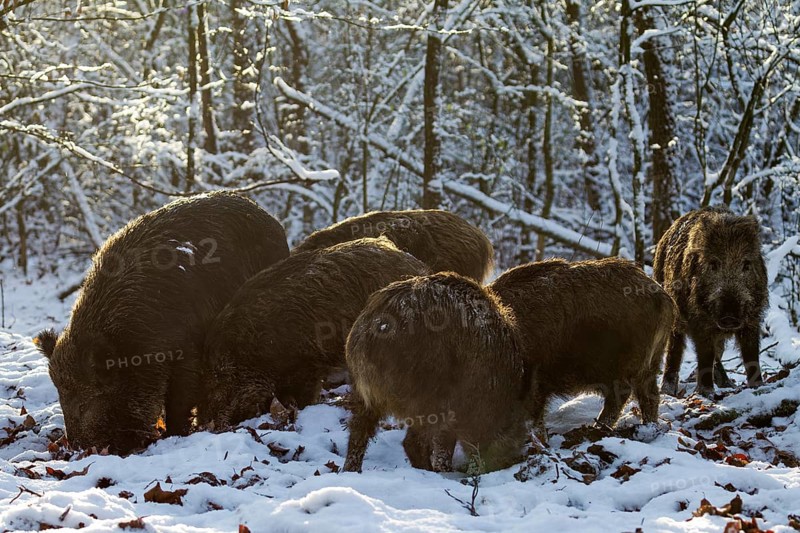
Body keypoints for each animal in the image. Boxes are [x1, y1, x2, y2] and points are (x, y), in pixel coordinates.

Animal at [35, 191, 290, 454]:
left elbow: (179, 399)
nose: (75, 449)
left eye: (84, 404)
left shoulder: (187, 353)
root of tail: (272, 221)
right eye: (61, 400)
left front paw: (174, 434)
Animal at [343, 272, 528, 473]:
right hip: (424, 391)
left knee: (358, 429)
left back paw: (350, 469)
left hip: (362, 390)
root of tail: (378, 327)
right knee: (412, 441)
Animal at [490, 258, 676, 437]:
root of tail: (663, 297)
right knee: (650, 395)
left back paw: (598, 428)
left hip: (623, 363)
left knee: (622, 394)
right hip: (650, 362)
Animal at [653, 206, 768, 397]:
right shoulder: (700, 321)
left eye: (746, 264)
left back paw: (727, 384)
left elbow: (751, 353)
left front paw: (758, 386)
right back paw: (668, 391)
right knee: (675, 347)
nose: (729, 317)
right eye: (713, 264)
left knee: (718, 351)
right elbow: (705, 354)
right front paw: (706, 393)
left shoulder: (753, 318)